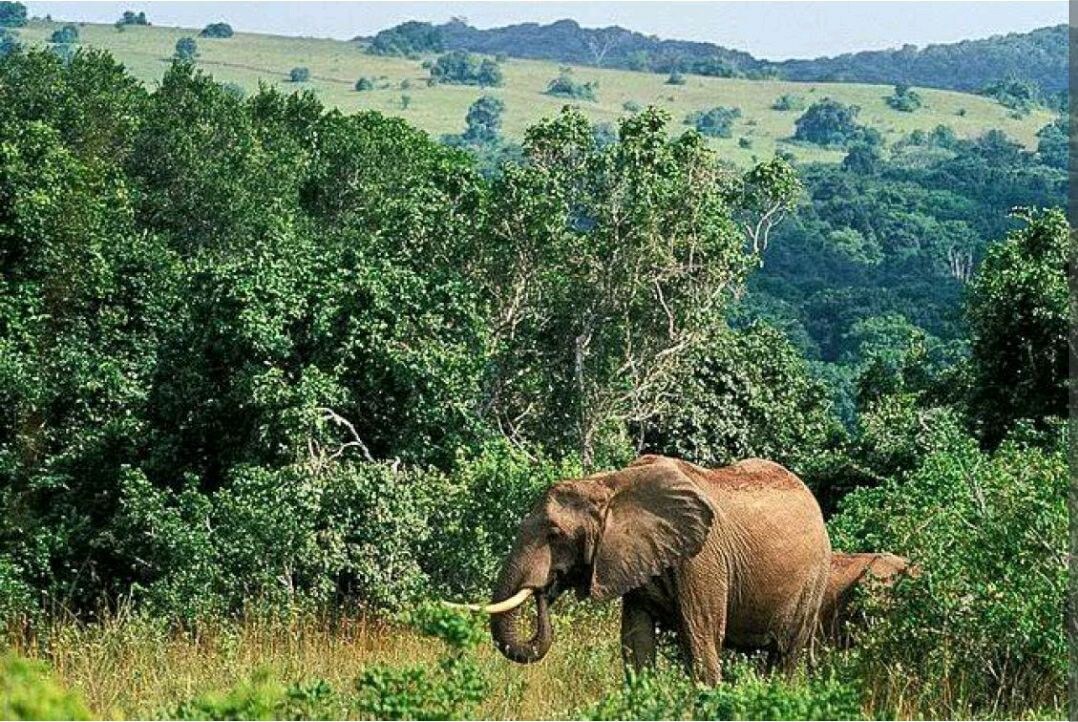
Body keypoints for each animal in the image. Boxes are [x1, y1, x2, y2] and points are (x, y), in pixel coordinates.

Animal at [465, 454, 832, 685]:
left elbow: (701, 642)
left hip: (815, 581)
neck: (609, 484)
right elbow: (637, 645)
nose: (545, 589)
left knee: (783, 657)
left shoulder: (702, 559)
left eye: (554, 534)